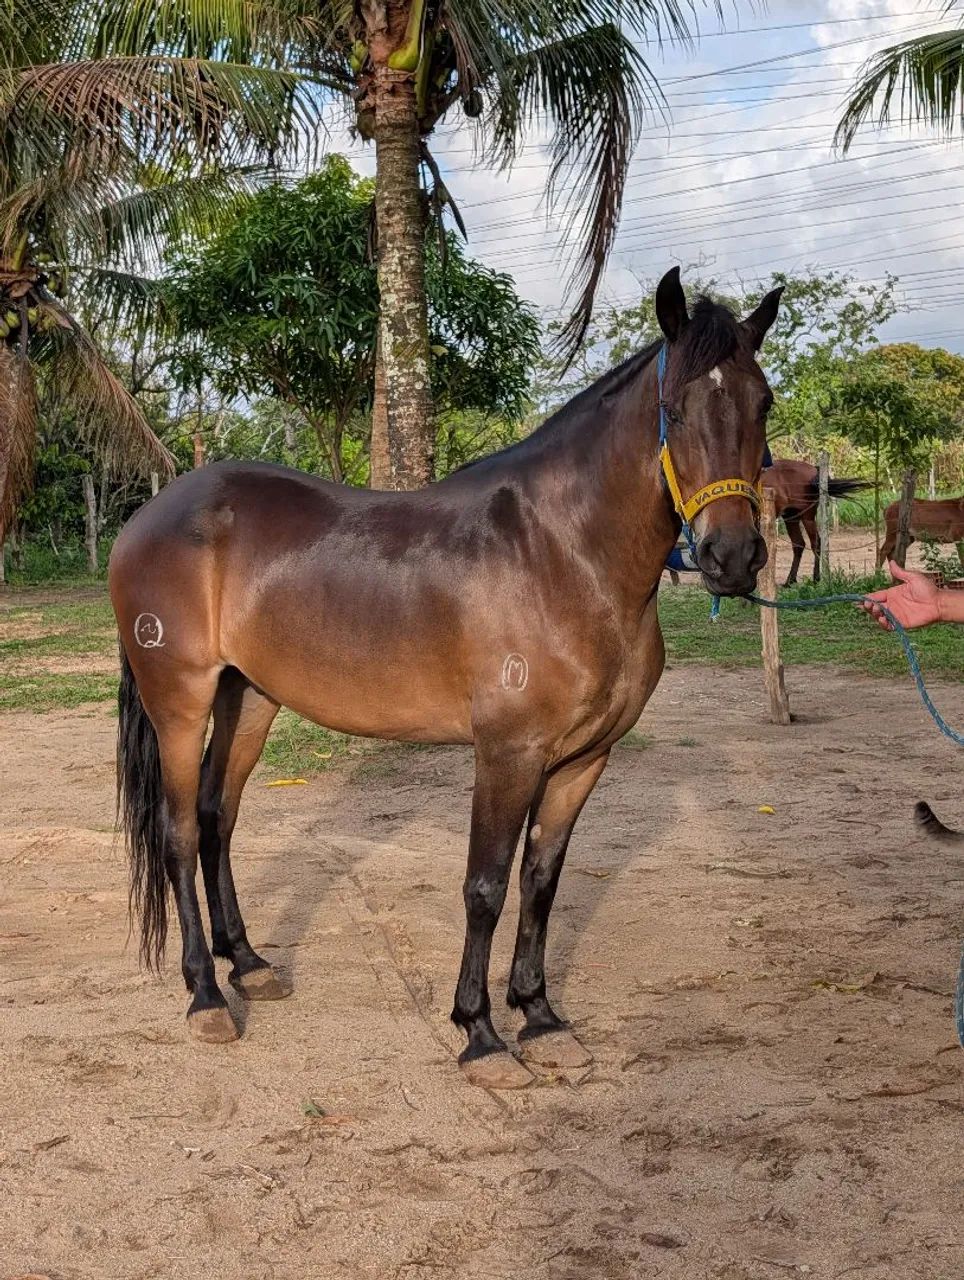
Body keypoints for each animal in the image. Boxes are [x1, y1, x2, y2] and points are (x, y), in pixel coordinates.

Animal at [109, 267, 782, 1089]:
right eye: (675, 408)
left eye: (763, 402)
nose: (733, 557)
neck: (563, 553)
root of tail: (150, 515)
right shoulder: (508, 753)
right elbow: (484, 887)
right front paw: (481, 1033)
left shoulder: (584, 759)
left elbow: (541, 881)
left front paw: (541, 1018)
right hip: (179, 701)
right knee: (176, 831)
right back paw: (205, 996)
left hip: (251, 697)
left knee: (216, 818)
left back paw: (250, 964)